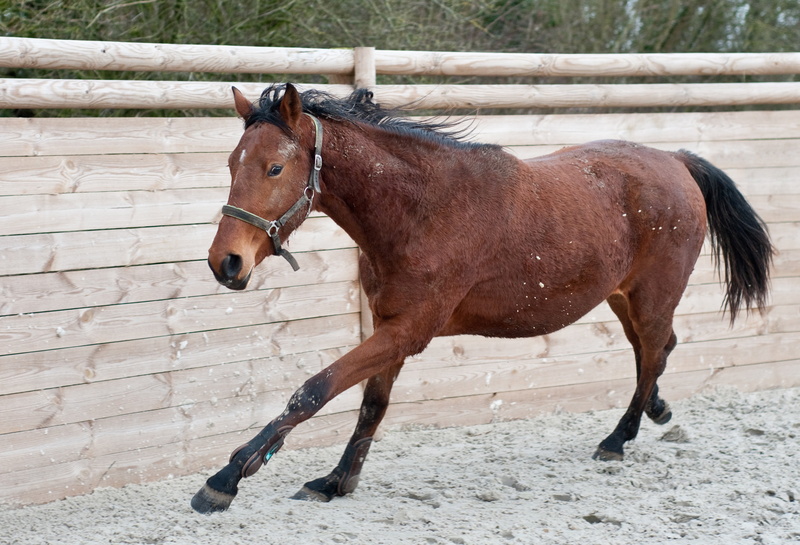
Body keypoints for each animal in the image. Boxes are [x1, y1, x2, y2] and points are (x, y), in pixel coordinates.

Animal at [192, 83, 773, 513]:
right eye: (231, 163)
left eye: (274, 167)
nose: (226, 263)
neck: (422, 210)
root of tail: (675, 160)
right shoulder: (389, 324)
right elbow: (372, 404)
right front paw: (337, 481)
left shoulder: (410, 330)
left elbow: (314, 391)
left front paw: (226, 477)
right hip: (621, 297)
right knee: (654, 351)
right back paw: (654, 412)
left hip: (652, 296)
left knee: (653, 352)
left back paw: (617, 439)